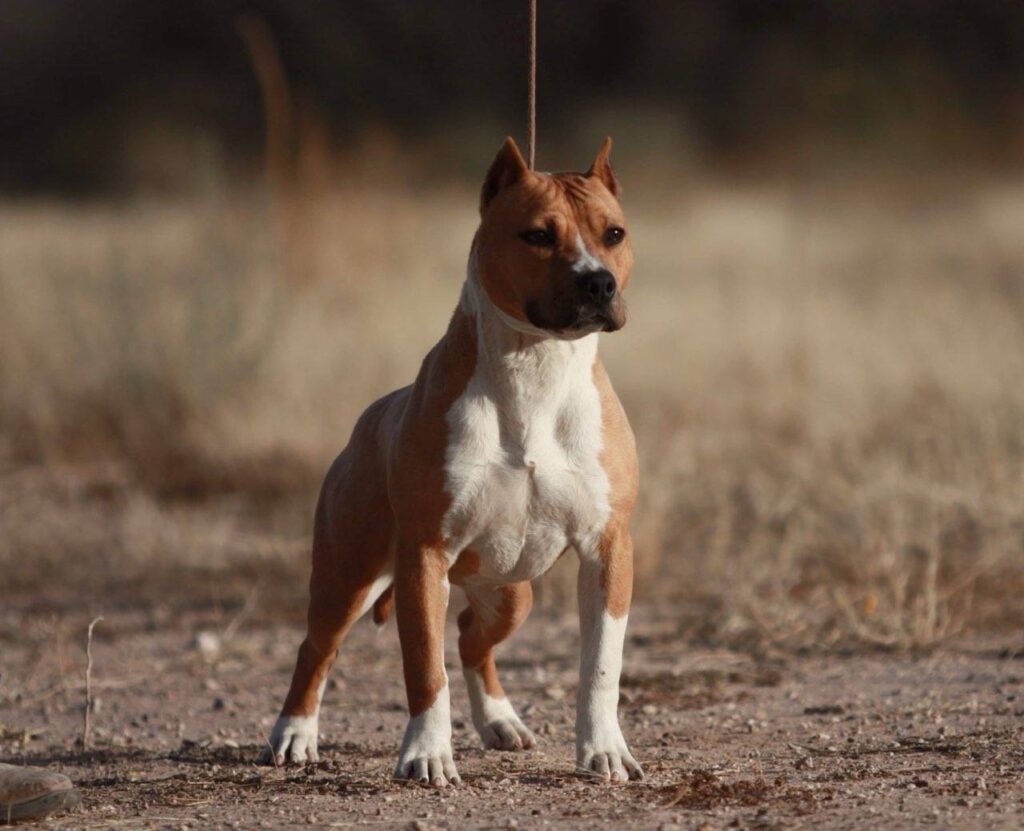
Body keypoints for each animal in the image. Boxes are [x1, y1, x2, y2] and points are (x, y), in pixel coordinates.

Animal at [260, 136, 638, 785]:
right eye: (538, 235)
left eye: (612, 233)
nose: (598, 283)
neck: (535, 367)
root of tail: (369, 418)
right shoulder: (423, 556)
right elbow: (423, 669)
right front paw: (427, 755)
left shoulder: (607, 548)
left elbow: (600, 667)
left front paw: (604, 750)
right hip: (348, 575)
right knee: (319, 647)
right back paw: (294, 734)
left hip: (510, 592)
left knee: (469, 637)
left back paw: (501, 722)